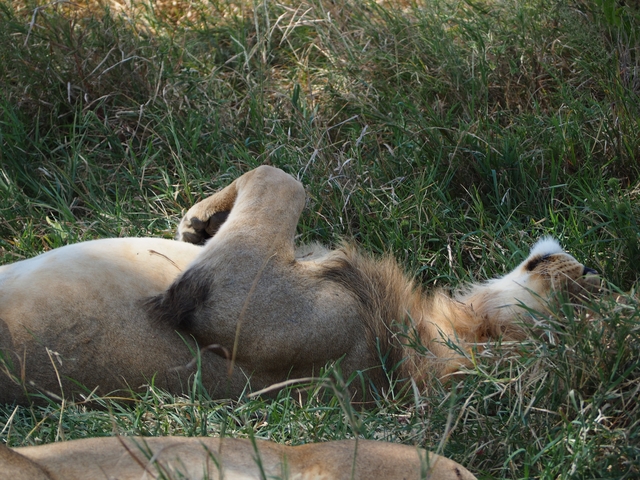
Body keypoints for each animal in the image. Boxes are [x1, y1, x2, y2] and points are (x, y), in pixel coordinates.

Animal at [0, 166, 599, 404]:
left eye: (586, 303)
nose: (591, 269)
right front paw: (201, 222)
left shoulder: (232, 296)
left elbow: (281, 178)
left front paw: (199, 218)